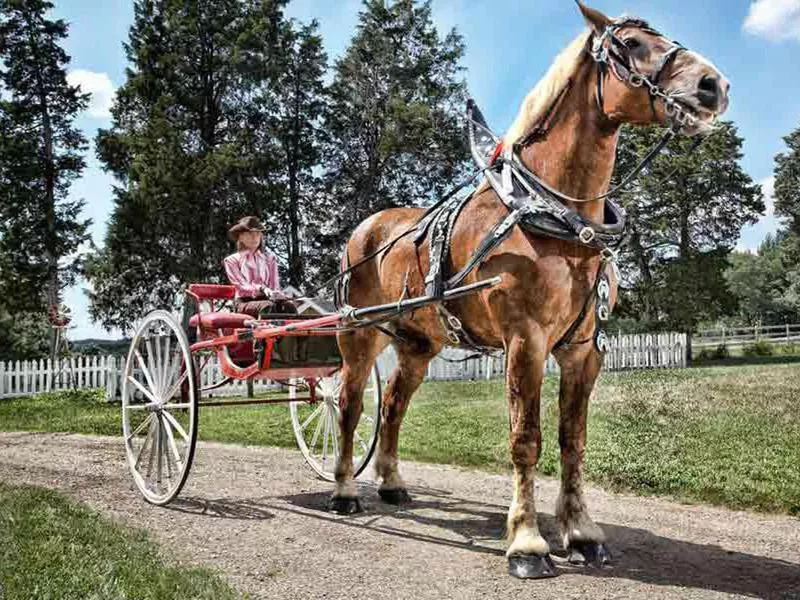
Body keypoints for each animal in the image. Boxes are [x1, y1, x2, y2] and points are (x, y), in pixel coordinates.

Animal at [328, 1, 728, 580]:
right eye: (629, 44)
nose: (713, 85)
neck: (553, 217)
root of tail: (366, 230)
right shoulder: (525, 340)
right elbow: (526, 439)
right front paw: (527, 542)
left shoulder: (583, 349)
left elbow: (572, 440)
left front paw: (581, 533)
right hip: (358, 336)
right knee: (351, 406)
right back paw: (343, 491)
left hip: (417, 345)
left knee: (393, 409)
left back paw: (392, 483)